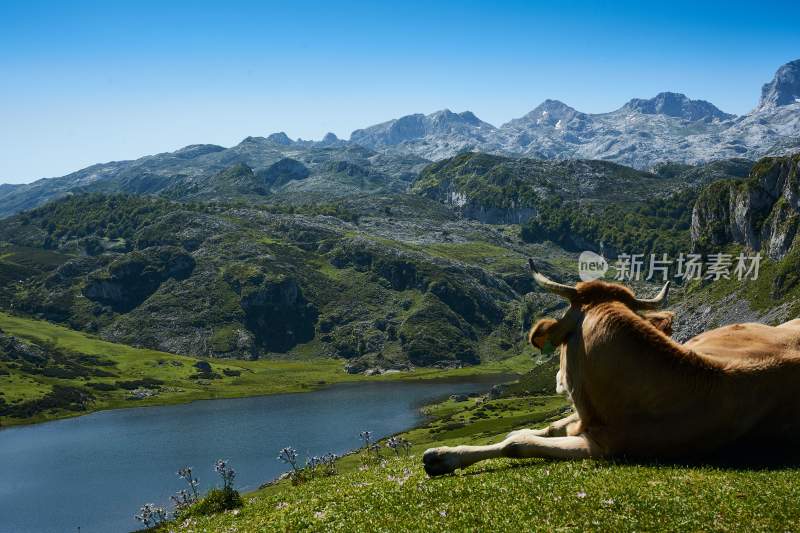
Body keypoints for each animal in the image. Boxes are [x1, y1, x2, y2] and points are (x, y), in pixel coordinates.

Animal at [422, 260, 800, 476]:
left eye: (562, 342)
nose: (557, 381)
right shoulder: (581, 421)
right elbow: (532, 431)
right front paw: (449, 454)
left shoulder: (603, 447)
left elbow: (518, 443)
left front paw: (443, 456)